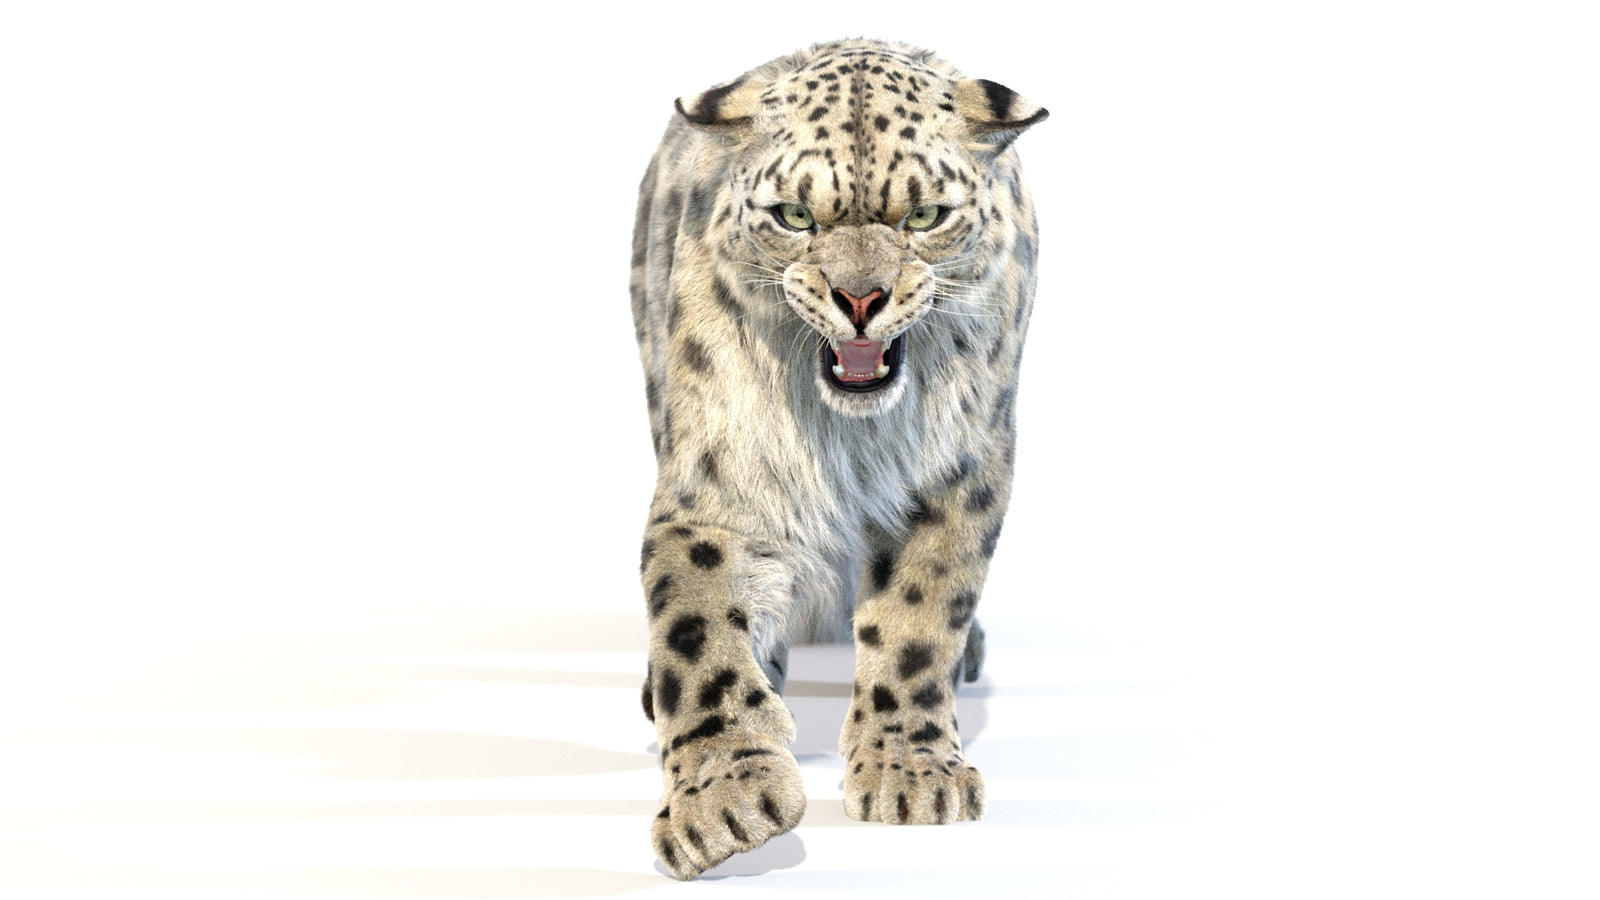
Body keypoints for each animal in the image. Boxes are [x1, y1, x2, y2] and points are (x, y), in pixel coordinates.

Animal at [629, 38, 1046, 879]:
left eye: (925, 216)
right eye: (794, 216)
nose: (860, 300)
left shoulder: (957, 474)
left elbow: (920, 616)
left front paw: (911, 774)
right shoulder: (714, 486)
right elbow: (695, 628)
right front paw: (723, 804)